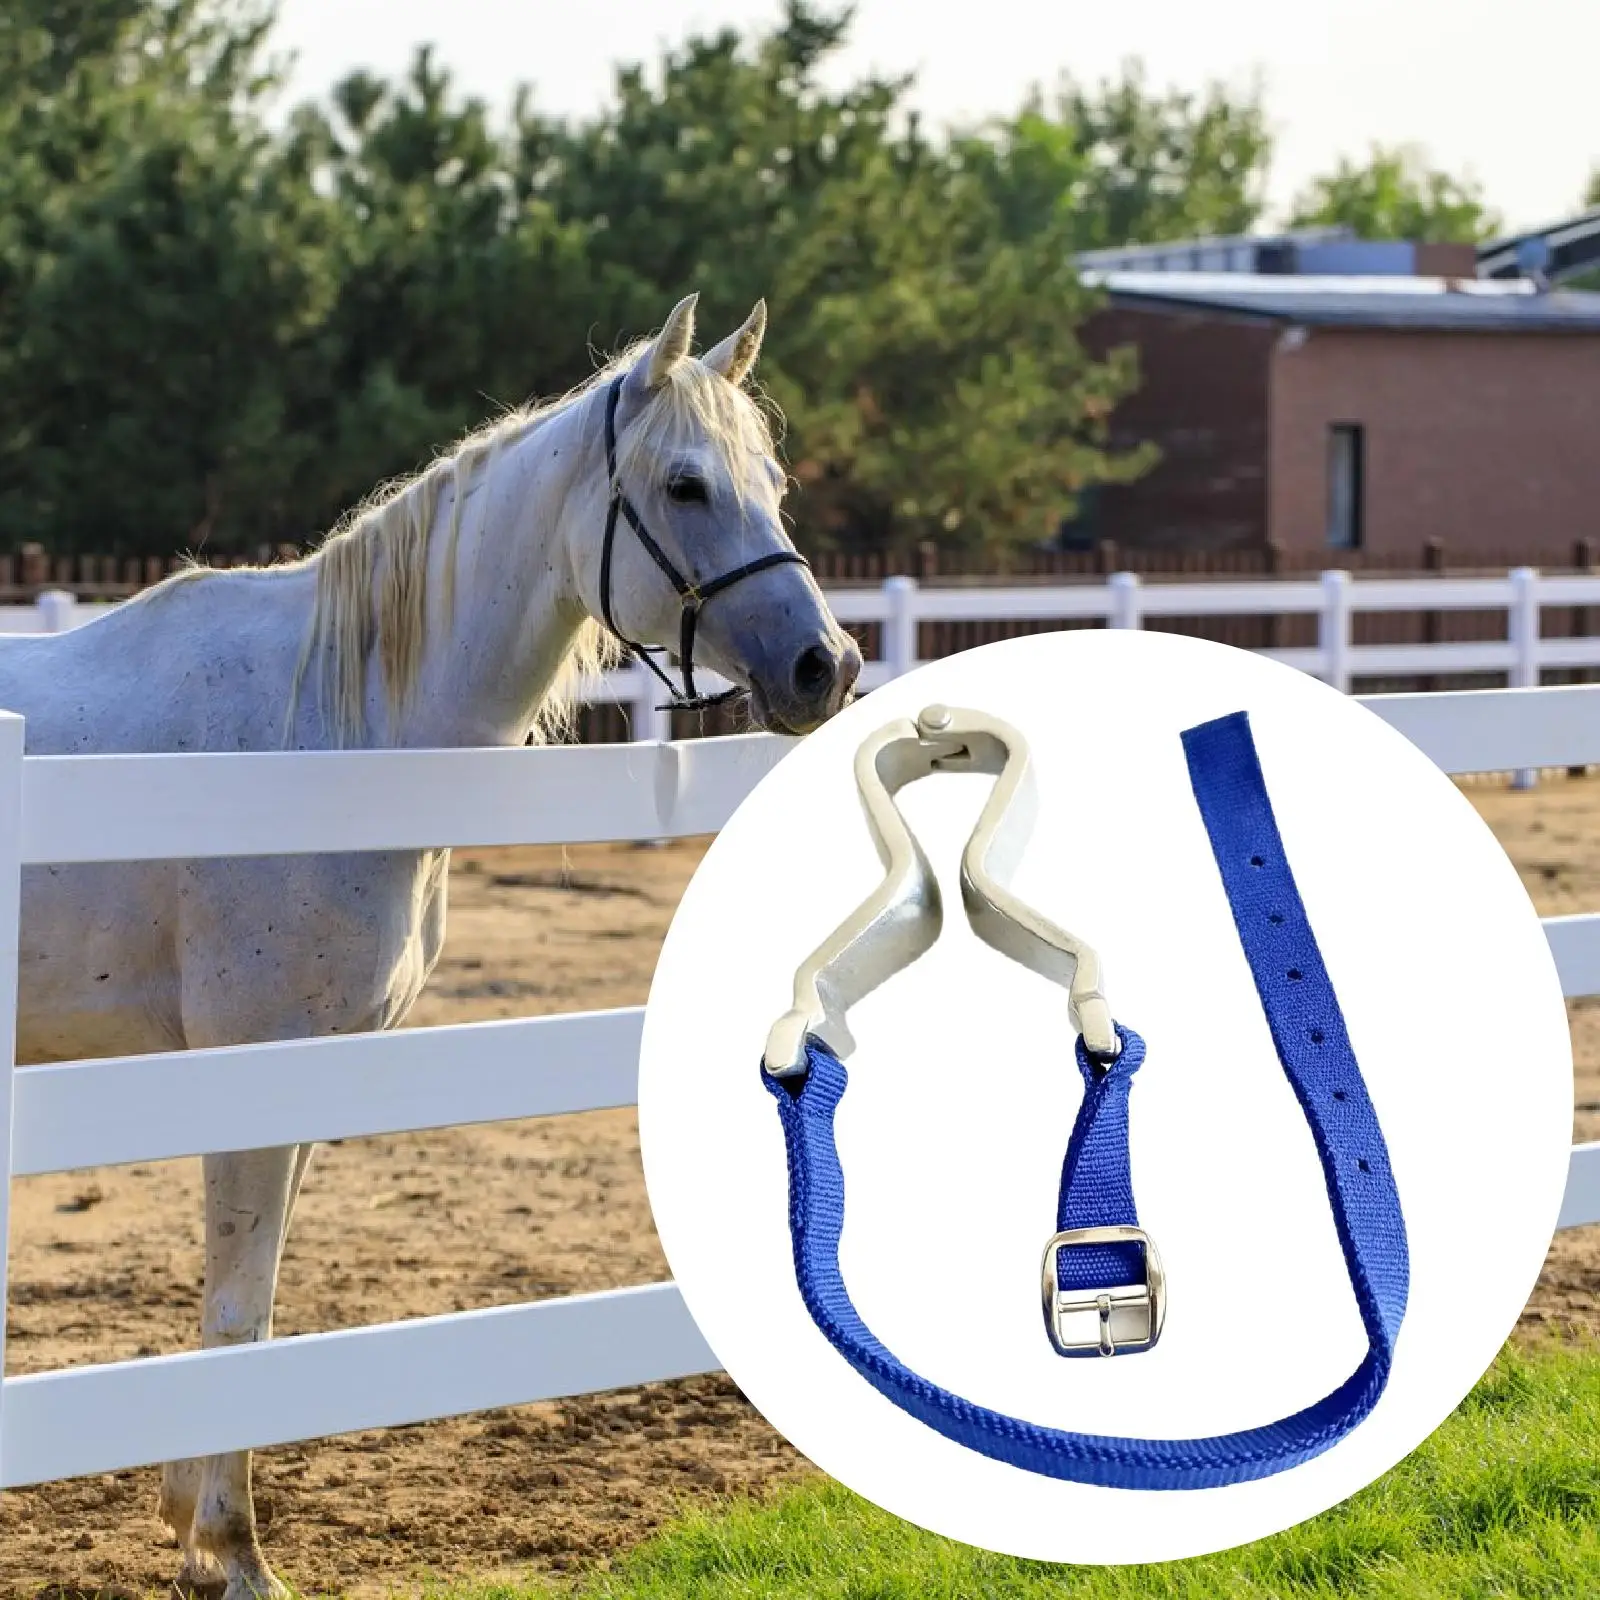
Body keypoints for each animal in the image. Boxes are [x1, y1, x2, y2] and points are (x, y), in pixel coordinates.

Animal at [0, 293, 861, 1599]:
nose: (827, 666)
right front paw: (233, 1552)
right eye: (685, 485)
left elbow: (250, 1307)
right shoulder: (249, 1075)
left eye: (772, 482)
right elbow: (238, 1314)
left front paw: (198, 1529)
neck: (330, 729)